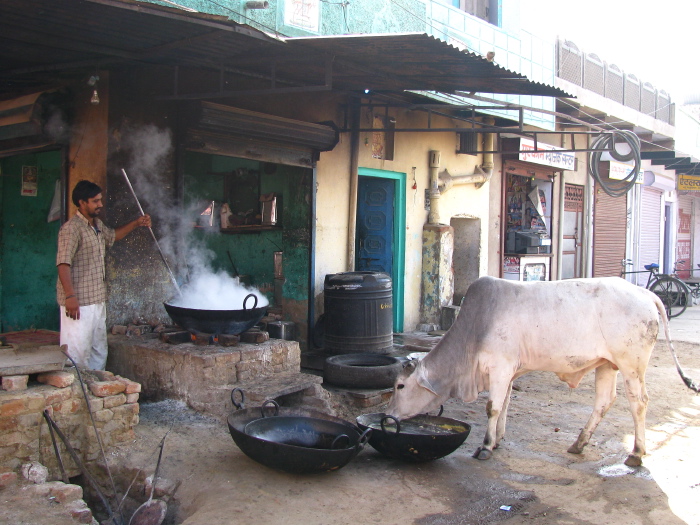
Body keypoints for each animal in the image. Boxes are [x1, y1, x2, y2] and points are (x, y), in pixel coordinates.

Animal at [386, 276, 696, 464]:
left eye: (400, 386)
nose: (390, 417)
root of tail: (646, 293)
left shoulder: (500, 368)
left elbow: (492, 408)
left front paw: (485, 446)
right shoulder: (509, 373)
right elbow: (505, 405)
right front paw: (497, 441)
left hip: (631, 365)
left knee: (639, 402)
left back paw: (636, 453)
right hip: (607, 365)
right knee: (604, 401)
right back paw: (579, 443)